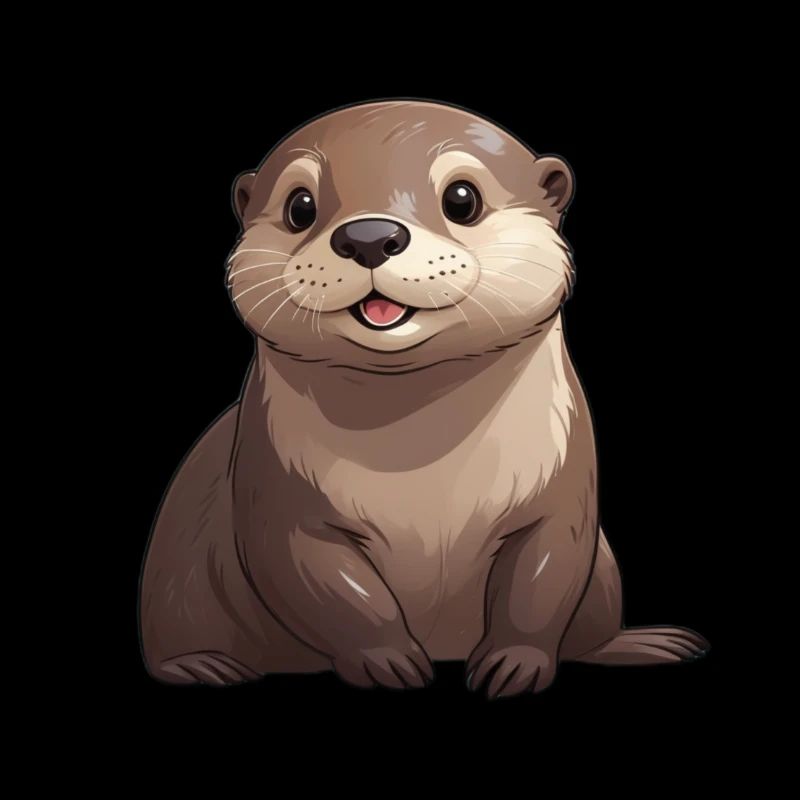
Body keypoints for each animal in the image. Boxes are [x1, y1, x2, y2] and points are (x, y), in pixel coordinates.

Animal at [139, 100, 708, 698]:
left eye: (462, 199)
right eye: (300, 207)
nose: (369, 235)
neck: (424, 474)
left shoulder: (561, 487)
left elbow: (542, 578)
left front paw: (515, 664)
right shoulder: (276, 492)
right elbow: (327, 585)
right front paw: (387, 660)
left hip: (603, 576)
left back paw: (645, 643)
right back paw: (203, 666)